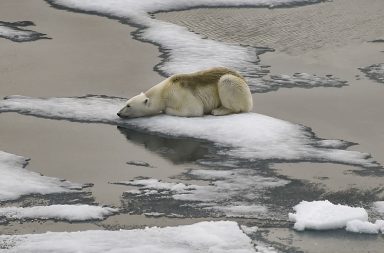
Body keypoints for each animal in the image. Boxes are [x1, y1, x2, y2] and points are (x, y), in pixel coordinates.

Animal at [117, 67, 255, 118]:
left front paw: (166, 109)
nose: (118, 113)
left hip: (236, 86)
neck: (165, 90)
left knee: (227, 82)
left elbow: (194, 110)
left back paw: (219, 110)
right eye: (126, 103)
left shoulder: (180, 94)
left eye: (128, 105)